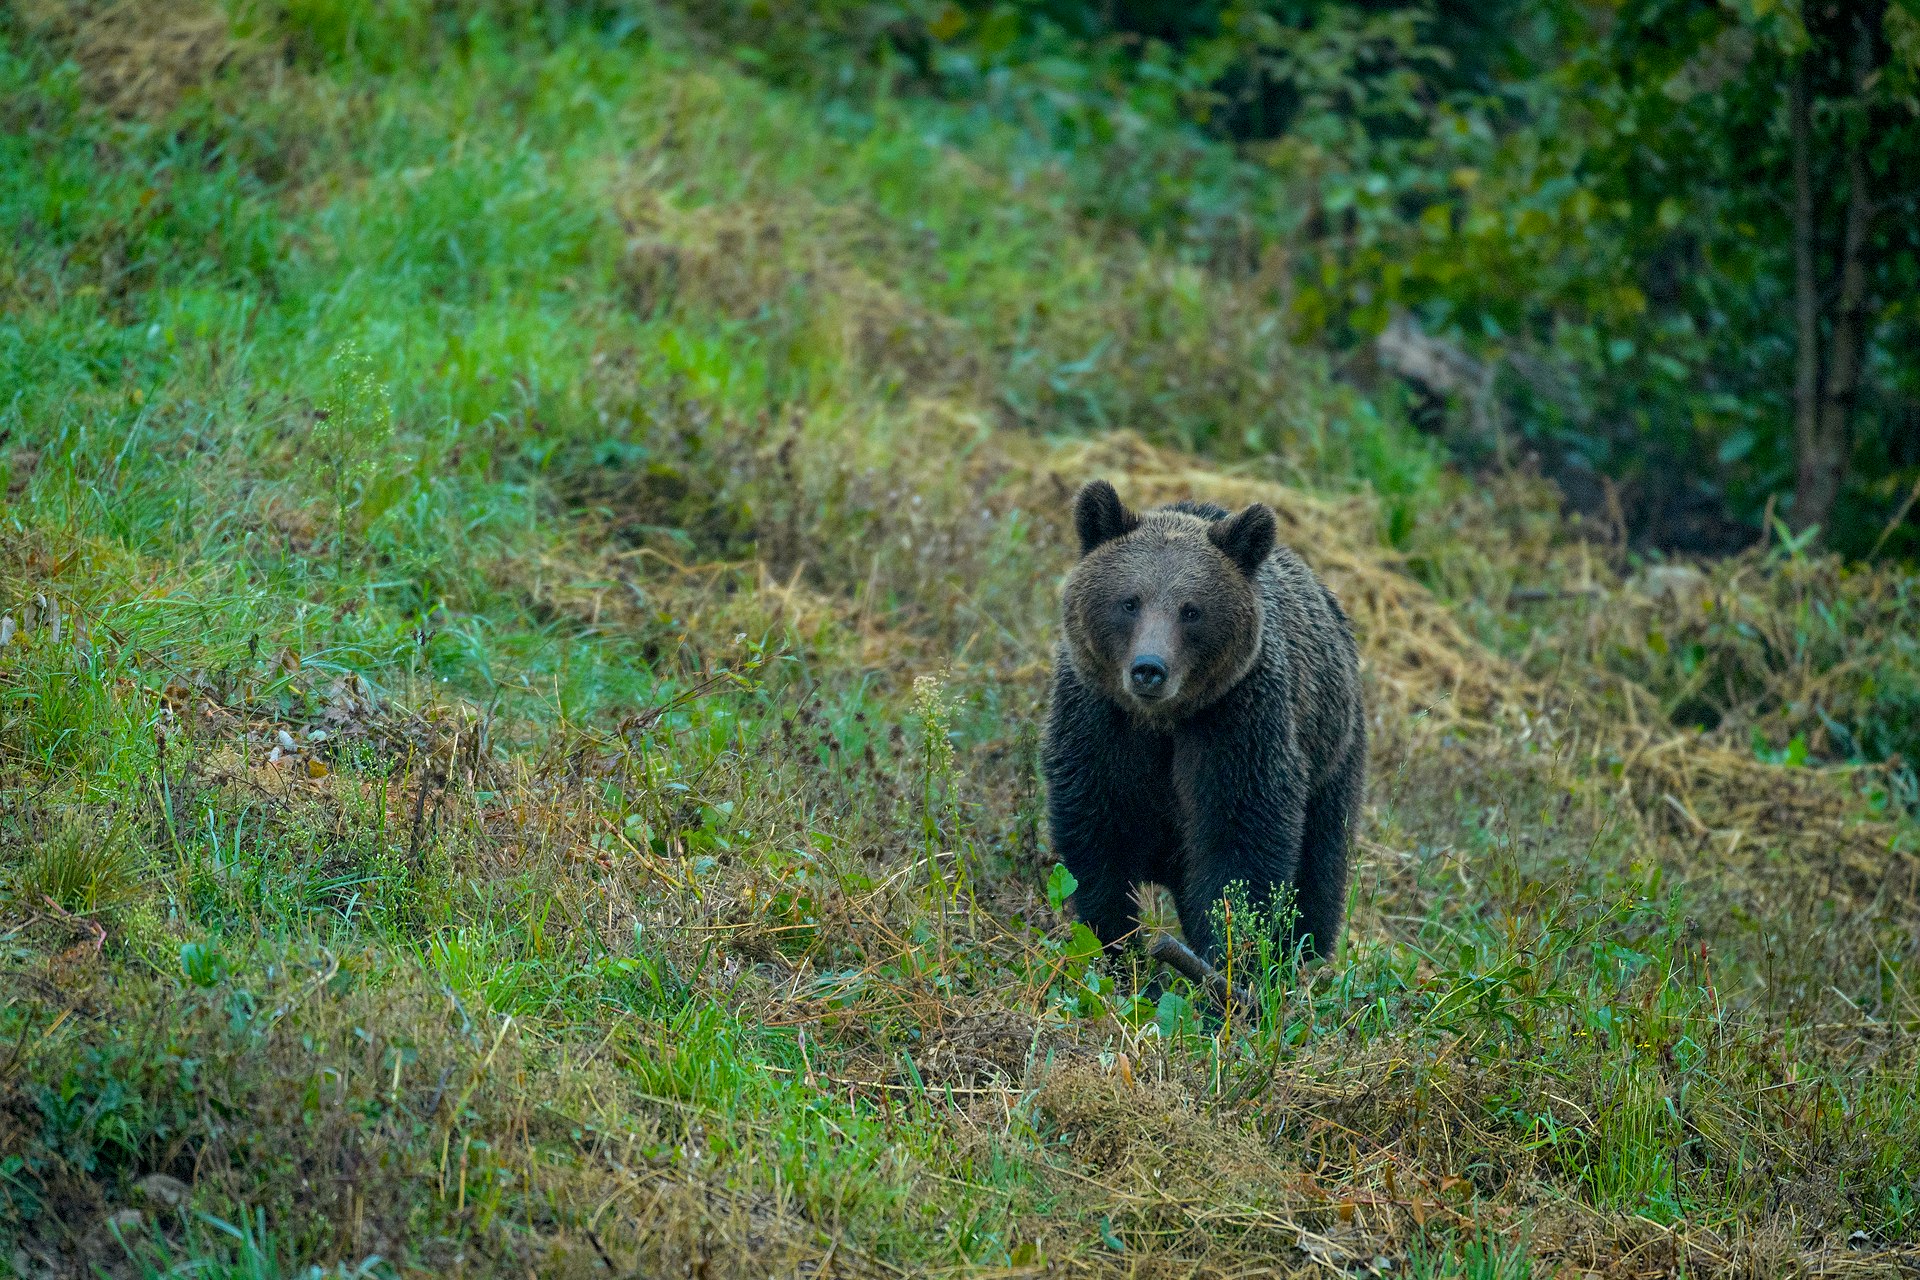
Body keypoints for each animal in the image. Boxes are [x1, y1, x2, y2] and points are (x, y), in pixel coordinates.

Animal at [1052, 485, 1367, 967]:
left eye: (1191, 610)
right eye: (1130, 601)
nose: (1149, 669)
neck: (1162, 722)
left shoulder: (1236, 725)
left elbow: (1238, 850)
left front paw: (1229, 958)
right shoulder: (1098, 724)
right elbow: (1097, 843)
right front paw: (1117, 949)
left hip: (1332, 759)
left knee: (1321, 869)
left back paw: (1304, 958)